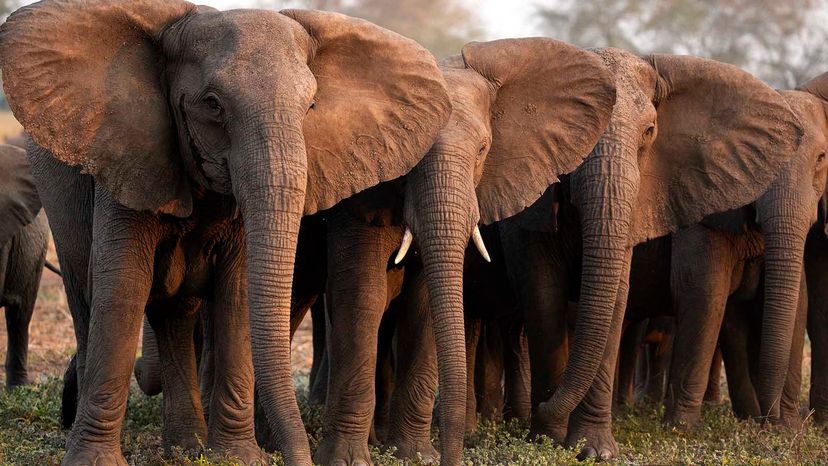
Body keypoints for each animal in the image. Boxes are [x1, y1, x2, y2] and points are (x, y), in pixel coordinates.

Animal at [0, 1, 452, 464]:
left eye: (311, 106)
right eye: (213, 105)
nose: (299, 457)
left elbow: (236, 292)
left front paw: (238, 456)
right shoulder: (127, 153)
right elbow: (123, 288)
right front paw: (93, 461)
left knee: (174, 316)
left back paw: (186, 446)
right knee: (87, 297)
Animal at [314, 39, 616, 466]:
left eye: (483, 150)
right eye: (409, 156)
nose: (452, 457)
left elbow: (425, 302)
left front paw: (415, 456)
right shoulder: (360, 191)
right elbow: (362, 294)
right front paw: (346, 460)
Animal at [494, 48, 804, 458]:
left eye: (649, 133)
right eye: (579, 136)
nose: (545, 408)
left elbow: (616, 299)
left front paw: (594, 451)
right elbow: (543, 295)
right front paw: (545, 437)